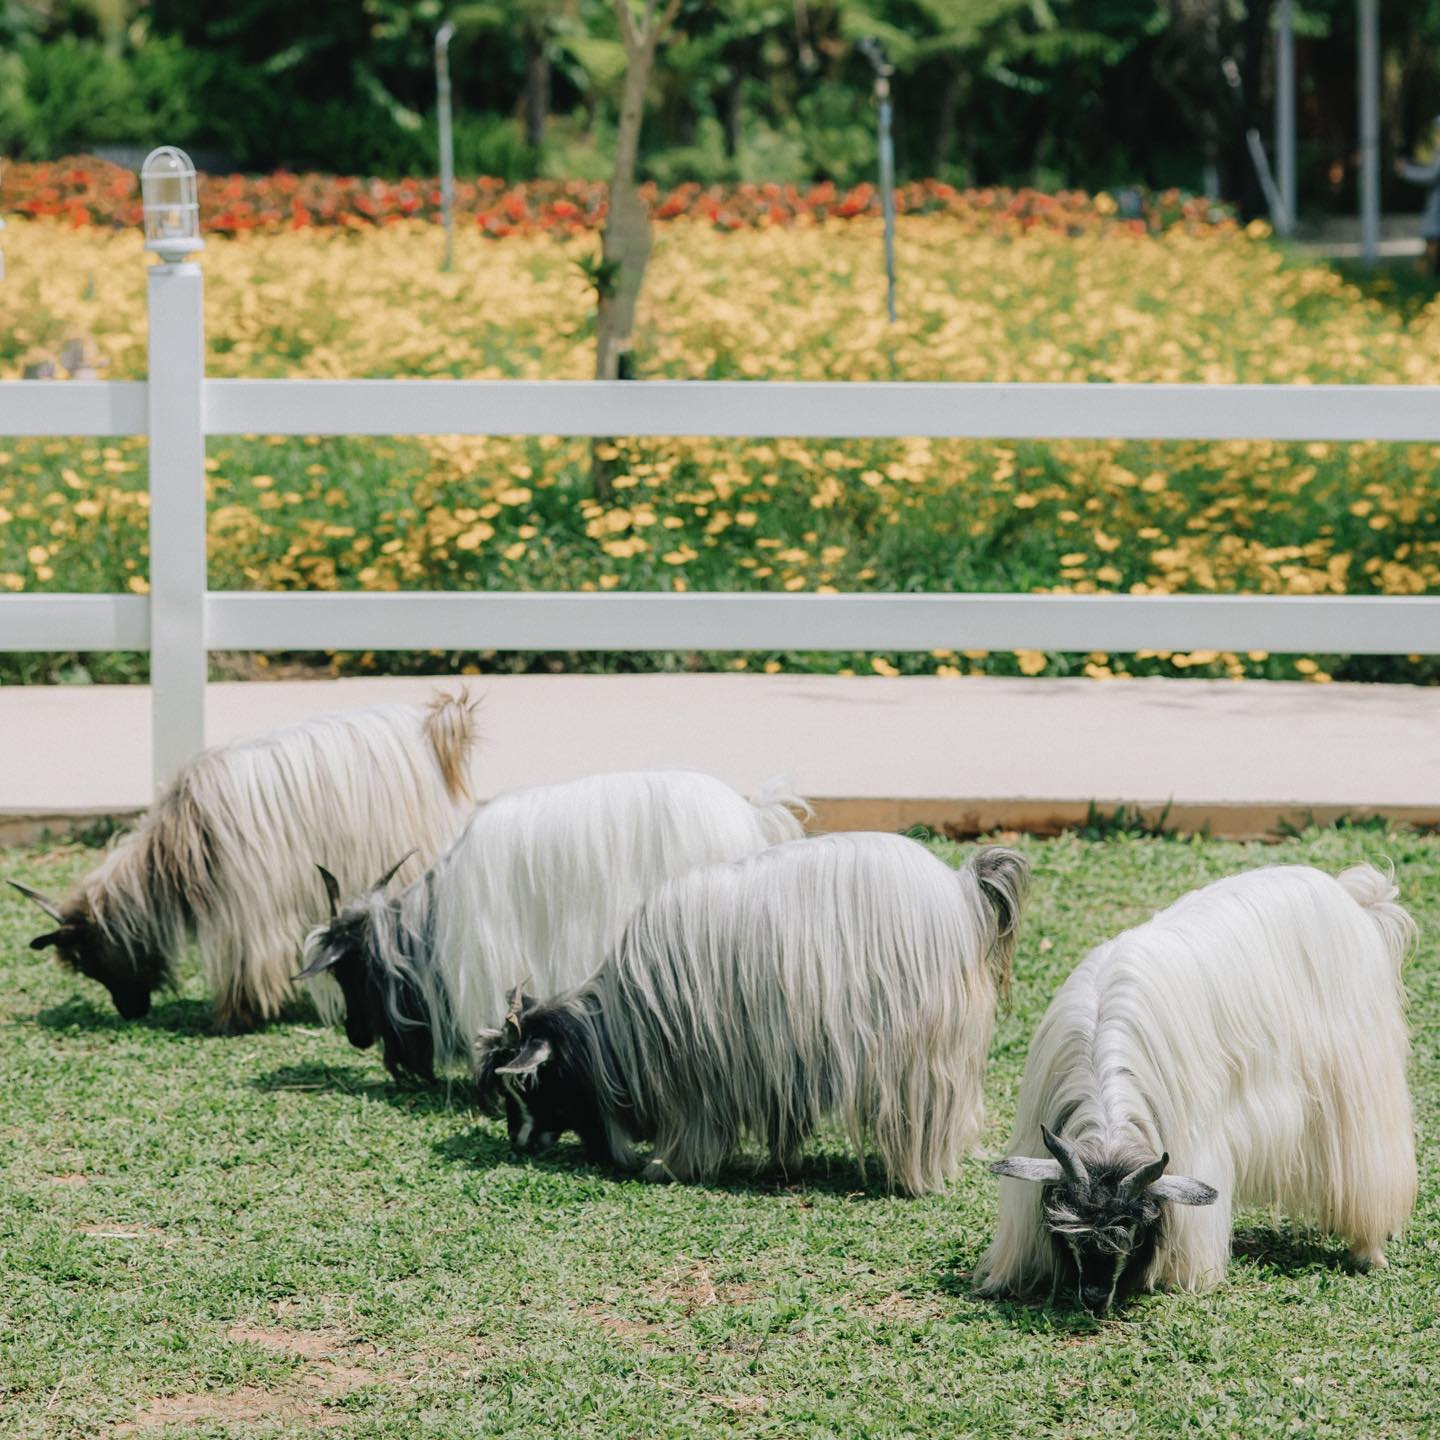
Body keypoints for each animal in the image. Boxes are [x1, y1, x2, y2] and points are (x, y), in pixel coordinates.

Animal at [12, 691, 478, 1031]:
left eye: (88, 962)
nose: (131, 1011)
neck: (174, 853)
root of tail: (437, 728)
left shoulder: (246, 907)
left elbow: (245, 962)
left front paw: (234, 1017)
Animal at [472, 835, 1025, 1192]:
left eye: (527, 1084)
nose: (519, 1142)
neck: (622, 1031)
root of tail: (961, 890)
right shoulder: (779, 1060)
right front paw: (783, 1162)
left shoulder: (698, 1080)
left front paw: (668, 1167)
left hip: (919, 1050)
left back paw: (916, 1179)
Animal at [979, 858, 1416, 1313]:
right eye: (1073, 1231)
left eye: (1132, 1229)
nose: (1095, 1298)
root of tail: (1352, 896)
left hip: (1361, 1077)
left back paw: (1369, 1249)